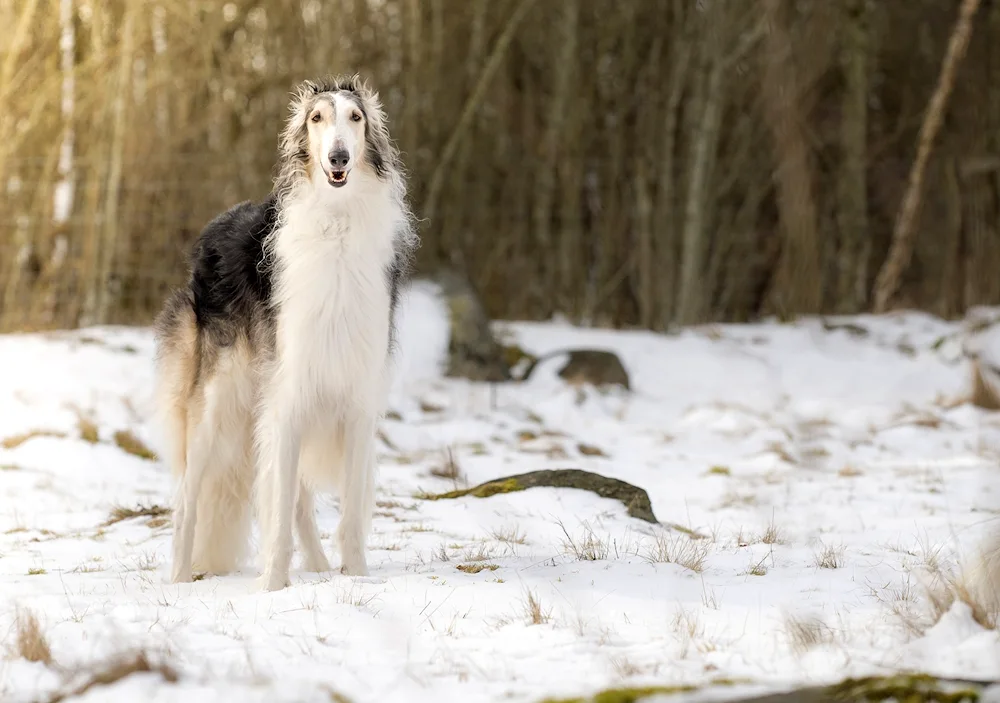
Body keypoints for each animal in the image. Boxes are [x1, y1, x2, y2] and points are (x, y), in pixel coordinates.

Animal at [151, 74, 414, 592]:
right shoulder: (289, 392)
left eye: (356, 117)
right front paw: (271, 586)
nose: (339, 158)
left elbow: (349, 514)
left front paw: (355, 576)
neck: (336, 224)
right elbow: (276, 507)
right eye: (317, 118)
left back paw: (318, 565)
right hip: (217, 404)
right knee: (189, 498)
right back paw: (179, 578)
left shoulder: (355, 398)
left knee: (297, 503)